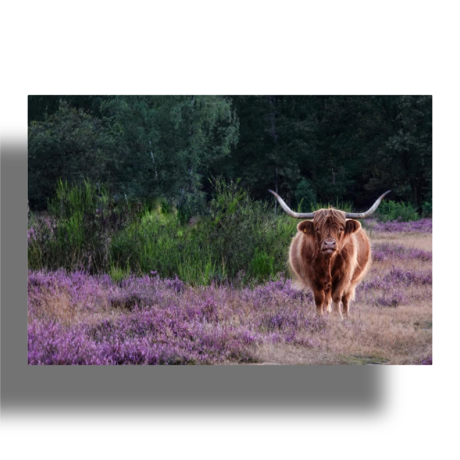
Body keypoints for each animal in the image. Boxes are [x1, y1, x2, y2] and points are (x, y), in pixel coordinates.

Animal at [268, 189, 390, 318]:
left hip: (351, 281)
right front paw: (319, 317)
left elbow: (337, 296)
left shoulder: (344, 275)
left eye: (341, 228)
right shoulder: (312, 277)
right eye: (317, 228)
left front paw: (338, 316)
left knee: (345, 298)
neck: (328, 261)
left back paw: (346, 315)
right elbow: (319, 298)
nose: (329, 244)